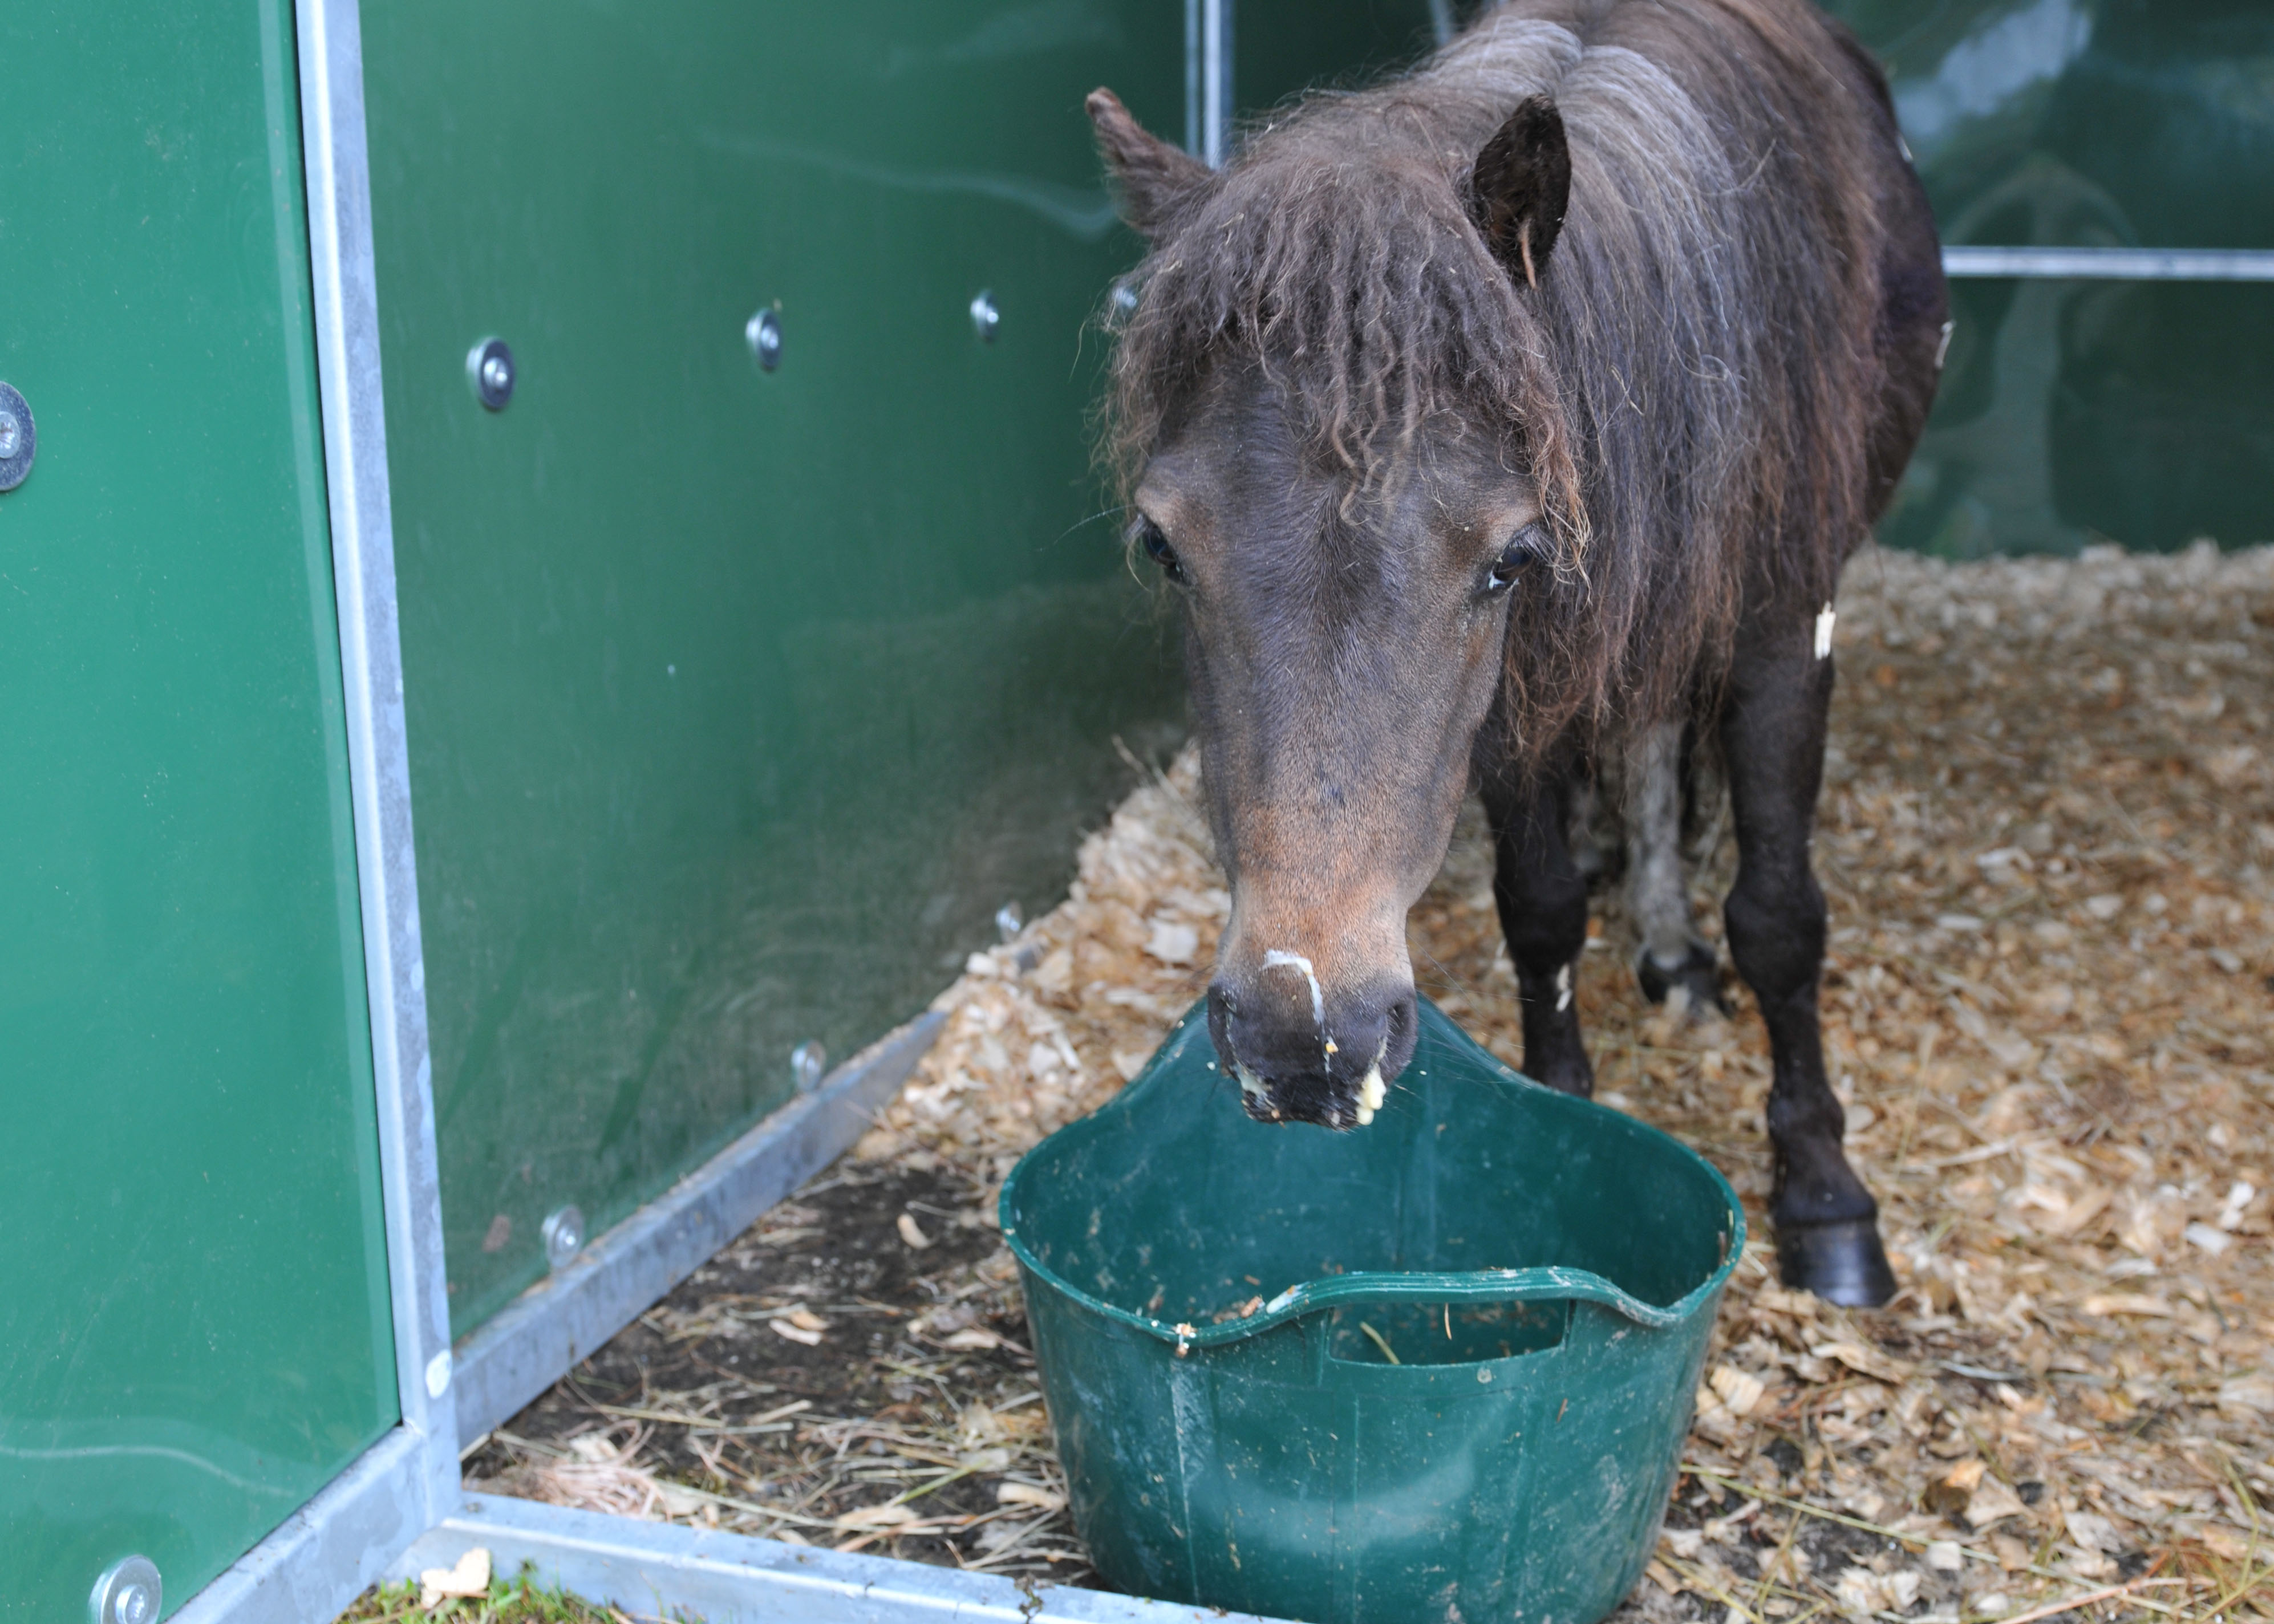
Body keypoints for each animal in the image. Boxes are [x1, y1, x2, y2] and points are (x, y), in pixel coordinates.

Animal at [1086, 0, 1948, 1305]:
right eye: (1163, 545)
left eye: (1504, 560)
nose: (1304, 1039)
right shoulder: (1522, 690)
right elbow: (1536, 906)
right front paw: (1559, 1110)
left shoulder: (1782, 630)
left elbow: (1780, 915)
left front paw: (1826, 1200)